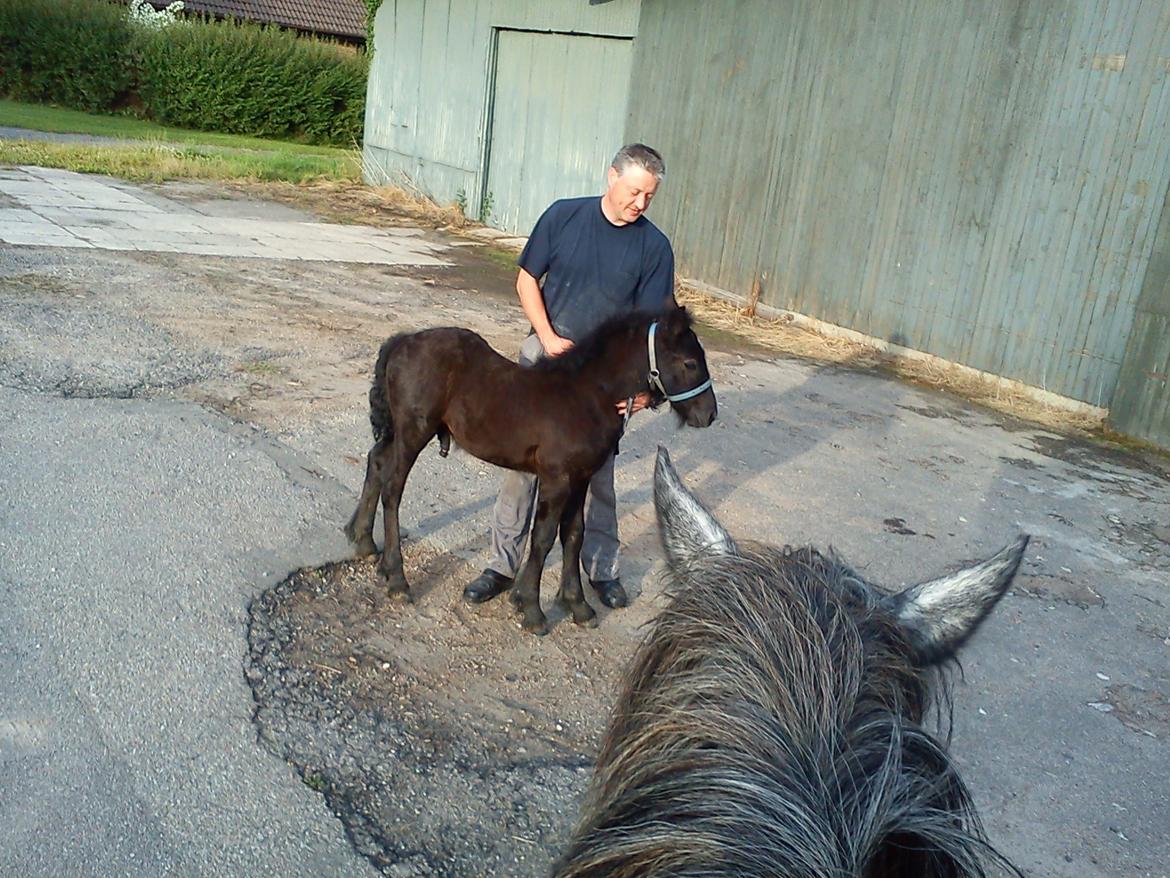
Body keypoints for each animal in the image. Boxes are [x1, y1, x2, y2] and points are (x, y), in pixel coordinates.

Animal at [344, 306, 717, 635]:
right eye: (689, 362)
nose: (709, 414)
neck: (586, 396)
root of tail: (403, 341)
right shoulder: (556, 477)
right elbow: (543, 536)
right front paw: (531, 608)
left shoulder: (580, 478)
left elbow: (574, 534)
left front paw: (578, 605)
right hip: (413, 432)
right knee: (393, 489)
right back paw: (397, 578)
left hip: (399, 432)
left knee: (376, 462)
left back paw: (364, 541)